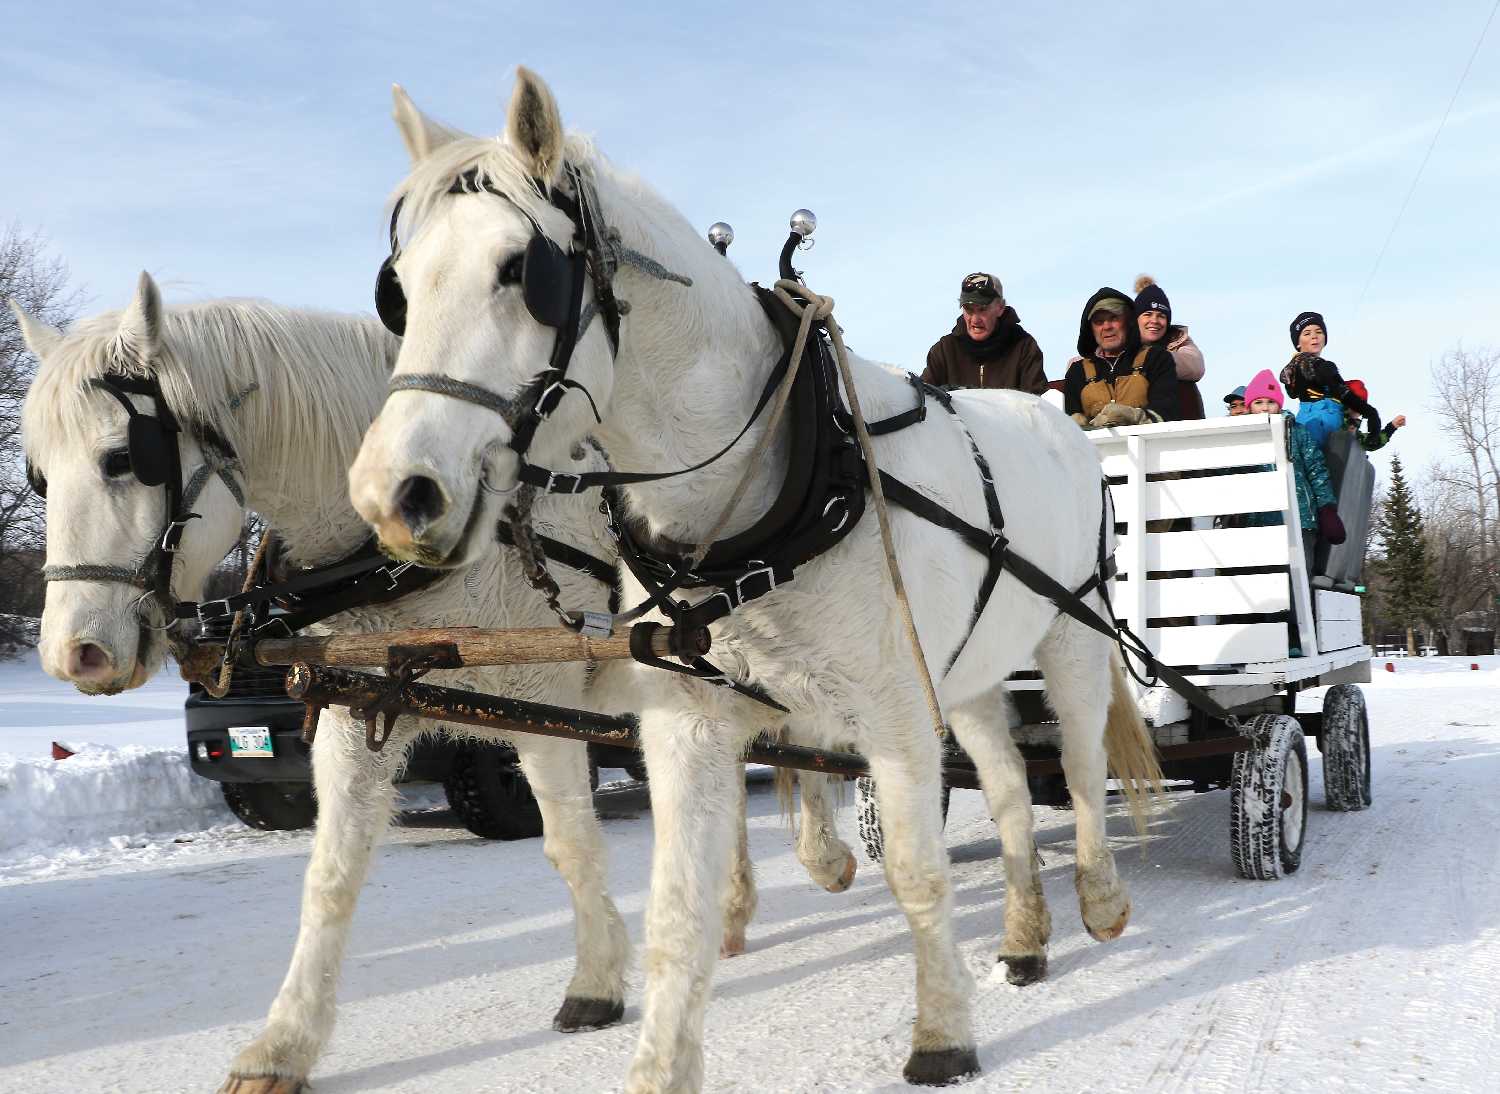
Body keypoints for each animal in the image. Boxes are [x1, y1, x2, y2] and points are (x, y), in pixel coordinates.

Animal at [14, 279, 858, 1092]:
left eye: (123, 458)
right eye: (39, 477)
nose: (74, 654)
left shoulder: (541, 702)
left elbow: (571, 845)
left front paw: (594, 981)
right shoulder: (357, 705)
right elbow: (330, 877)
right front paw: (284, 1043)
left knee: (810, 745)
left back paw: (823, 855)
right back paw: (737, 905)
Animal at [348, 72, 1158, 1086]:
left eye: (518, 270)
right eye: (399, 289)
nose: (394, 495)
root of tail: (1058, 425)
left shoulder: (895, 710)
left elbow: (918, 873)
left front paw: (942, 1035)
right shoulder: (690, 722)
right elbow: (677, 910)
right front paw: (659, 1059)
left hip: (1071, 635)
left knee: (1082, 767)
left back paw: (1101, 899)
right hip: (970, 671)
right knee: (1012, 786)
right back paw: (1023, 935)